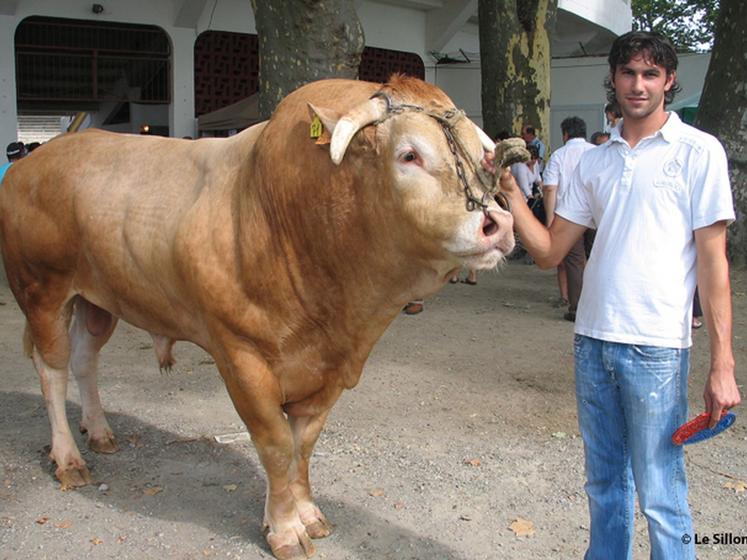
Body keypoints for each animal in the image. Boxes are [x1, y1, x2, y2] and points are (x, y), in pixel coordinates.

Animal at [0, 75, 520, 560]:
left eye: (484, 158)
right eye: (409, 155)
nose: (498, 224)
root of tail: (33, 160)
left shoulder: (331, 369)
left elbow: (302, 445)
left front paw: (306, 513)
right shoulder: (241, 356)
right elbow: (275, 445)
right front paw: (285, 529)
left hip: (99, 298)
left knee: (85, 359)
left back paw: (100, 430)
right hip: (42, 290)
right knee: (52, 369)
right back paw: (68, 458)